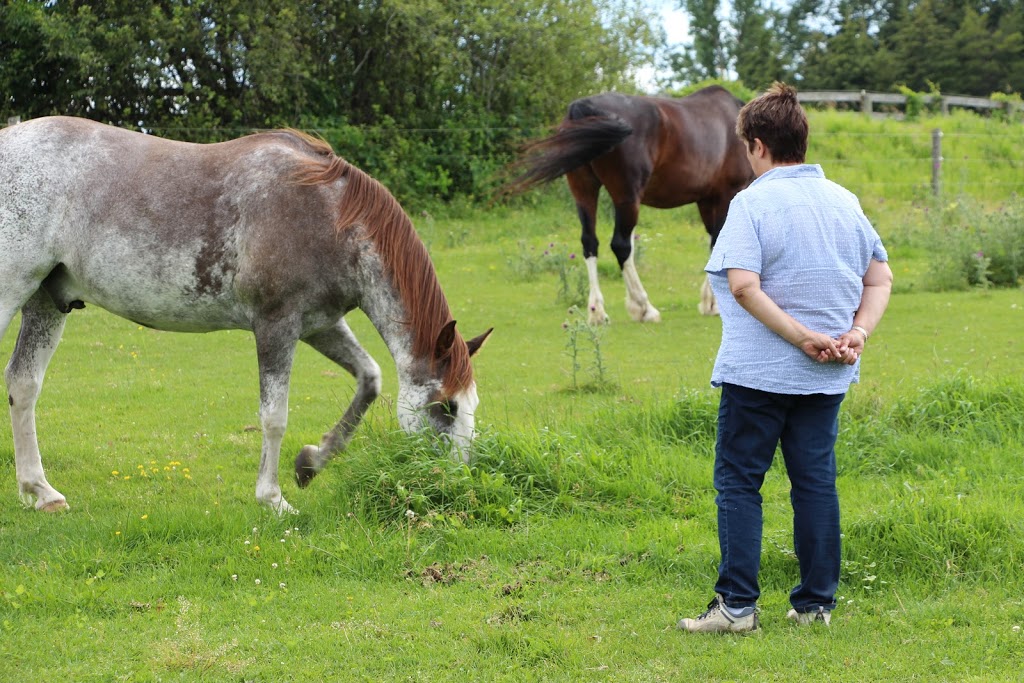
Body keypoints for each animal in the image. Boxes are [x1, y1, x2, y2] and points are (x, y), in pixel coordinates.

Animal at [0, 116, 491, 511]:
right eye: (446, 407)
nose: (456, 486)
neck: (327, 216)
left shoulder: (320, 325)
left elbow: (369, 379)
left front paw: (311, 462)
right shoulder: (276, 325)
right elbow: (274, 417)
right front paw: (273, 499)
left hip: (46, 302)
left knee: (23, 385)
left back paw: (42, 492)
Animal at [505, 84, 753, 323]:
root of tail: (583, 108)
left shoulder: (705, 200)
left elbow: (715, 244)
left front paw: (709, 302)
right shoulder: (727, 194)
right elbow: (720, 243)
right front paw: (713, 303)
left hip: (584, 192)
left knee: (590, 242)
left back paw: (597, 311)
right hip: (627, 199)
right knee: (621, 245)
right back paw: (644, 308)